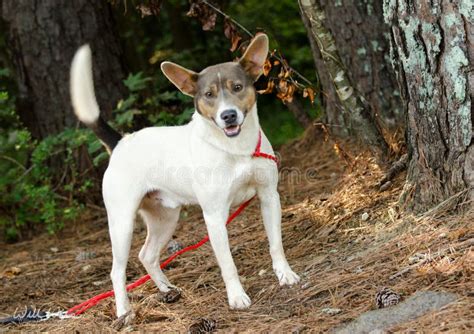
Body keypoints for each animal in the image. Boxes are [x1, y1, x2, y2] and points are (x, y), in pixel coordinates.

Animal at [69, 34, 300, 324]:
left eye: (237, 87)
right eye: (209, 95)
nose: (228, 116)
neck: (236, 149)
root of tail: (122, 141)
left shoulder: (269, 198)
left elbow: (276, 244)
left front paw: (284, 274)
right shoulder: (214, 217)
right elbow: (228, 264)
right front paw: (236, 297)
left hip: (165, 219)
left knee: (147, 255)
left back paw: (167, 289)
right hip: (121, 223)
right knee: (117, 271)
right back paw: (124, 311)